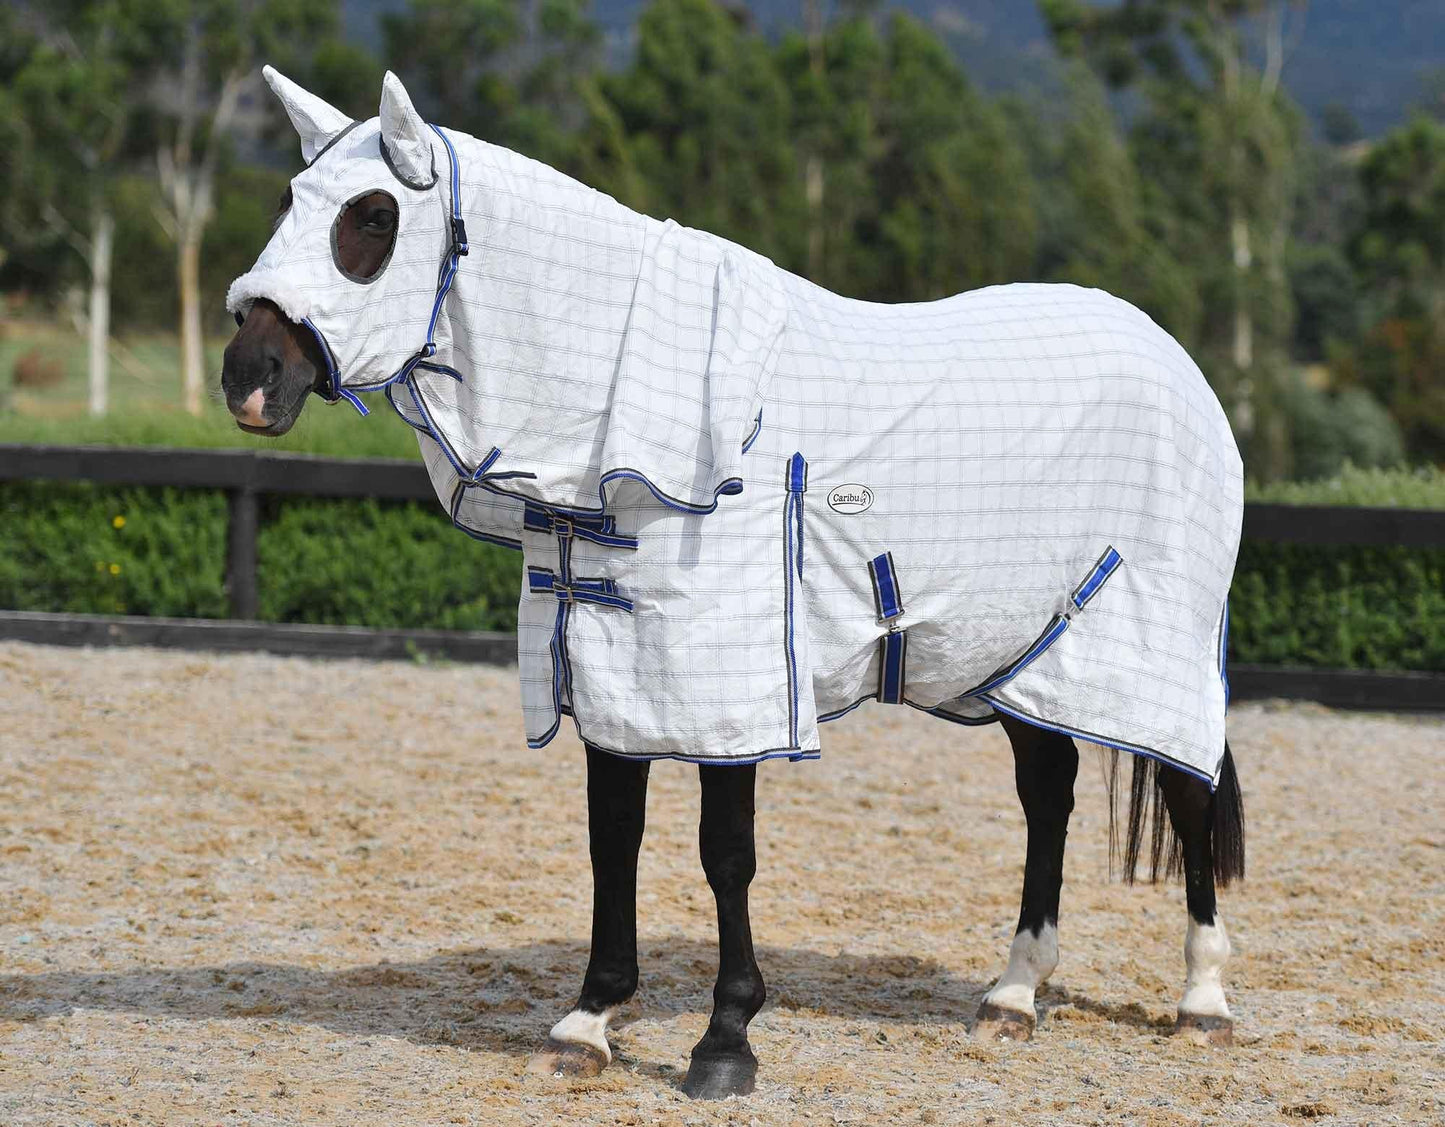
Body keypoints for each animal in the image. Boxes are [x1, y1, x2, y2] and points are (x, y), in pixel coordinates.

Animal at [220, 68, 1246, 1100]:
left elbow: (725, 855)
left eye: (373, 217)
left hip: (1150, 650)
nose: (248, 376)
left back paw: (1200, 1003)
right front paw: (588, 1021)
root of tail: (1177, 364)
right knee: (1050, 792)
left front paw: (724, 1040)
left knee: (1188, 794)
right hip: (1022, 655)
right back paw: (1012, 995)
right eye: (287, 201)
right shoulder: (609, 661)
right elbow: (612, 838)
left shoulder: (727, 684)